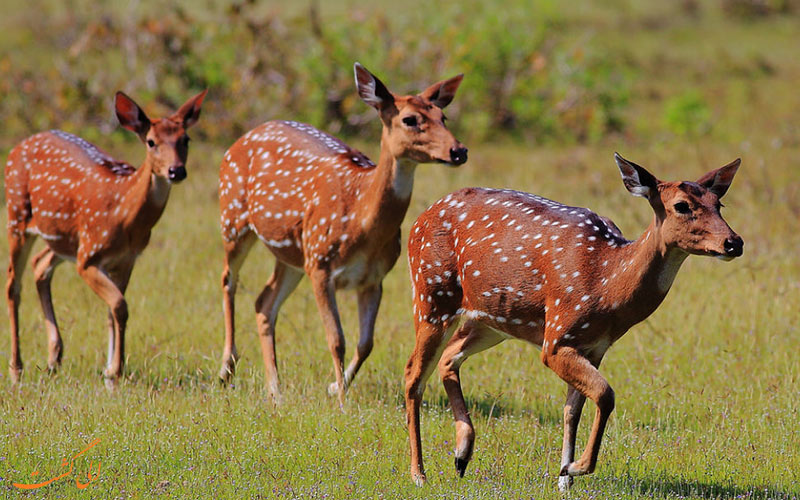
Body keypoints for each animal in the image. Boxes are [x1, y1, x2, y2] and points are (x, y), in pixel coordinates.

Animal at [6, 91, 206, 386]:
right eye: (151, 142)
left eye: (186, 139)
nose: (176, 171)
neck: (124, 215)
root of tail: (17, 147)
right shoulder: (89, 256)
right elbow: (120, 306)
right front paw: (115, 370)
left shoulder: (126, 259)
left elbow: (113, 312)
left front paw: (109, 370)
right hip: (17, 215)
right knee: (12, 284)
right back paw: (16, 368)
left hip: (62, 238)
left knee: (40, 265)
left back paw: (54, 358)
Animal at [219, 63, 468, 402]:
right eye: (410, 119)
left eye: (443, 117)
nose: (458, 151)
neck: (360, 220)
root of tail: (242, 138)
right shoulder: (322, 265)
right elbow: (337, 339)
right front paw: (341, 402)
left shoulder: (374, 277)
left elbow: (366, 343)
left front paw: (336, 385)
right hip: (234, 219)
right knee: (229, 280)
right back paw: (226, 370)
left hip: (292, 256)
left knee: (264, 303)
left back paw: (276, 391)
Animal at [406, 153, 744, 488]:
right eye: (682, 205)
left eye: (719, 204)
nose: (734, 242)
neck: (607, 284)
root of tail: (418, 221)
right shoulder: (557, 336)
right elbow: (605, 395)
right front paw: (577, 467)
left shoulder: (594, 347)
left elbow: (572, 409)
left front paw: (564, 477)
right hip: (431, 295)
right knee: (414, 374)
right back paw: (419, 473)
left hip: (489, 319)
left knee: (449, 357)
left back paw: (462, 455)